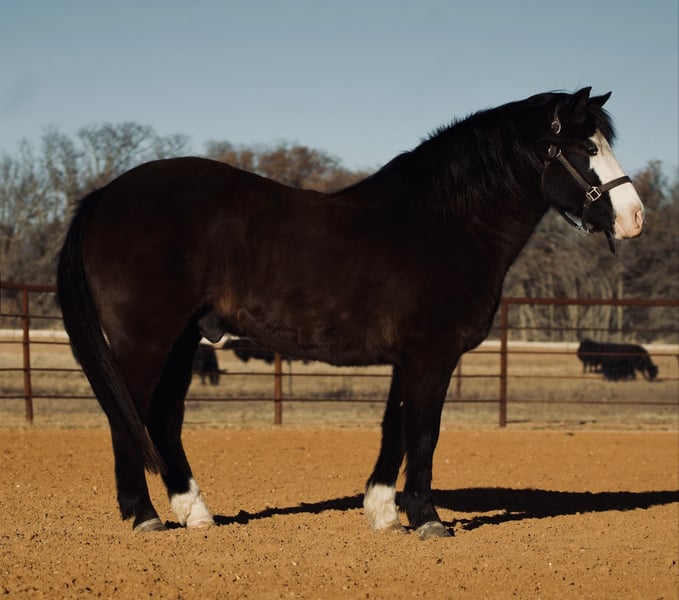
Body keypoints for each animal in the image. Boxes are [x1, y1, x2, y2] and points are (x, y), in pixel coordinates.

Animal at [57, 87, 645, 538]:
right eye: (584, 146)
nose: (635, 217)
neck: (444, 222)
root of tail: (106, 194)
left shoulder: (408, 357)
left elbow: (394, 429)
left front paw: (383, 513)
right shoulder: (433, 354)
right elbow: (423, 432)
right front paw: (427, 519)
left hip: (183, 339)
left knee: (162, 418)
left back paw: (196, 513)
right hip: (145, 338)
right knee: (126, 415)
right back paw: (144, 516)